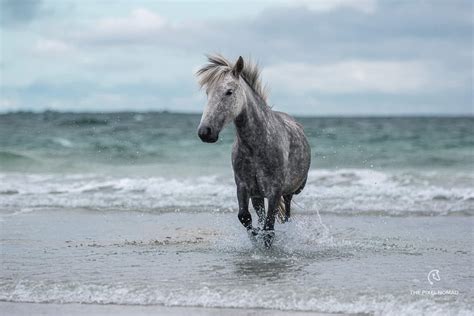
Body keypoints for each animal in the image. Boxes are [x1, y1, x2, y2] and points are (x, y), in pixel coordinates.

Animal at [195, 53, 312, 247]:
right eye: (207, 93)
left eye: (229, 92)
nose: (205, 132)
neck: (256, 146)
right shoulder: (243, 186)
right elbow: (245, 217)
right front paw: (255, 236)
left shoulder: (274, 190)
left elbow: (269, 226)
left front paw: (265, 242)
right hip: (257, 196)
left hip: (290, 191)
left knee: (286, 212)